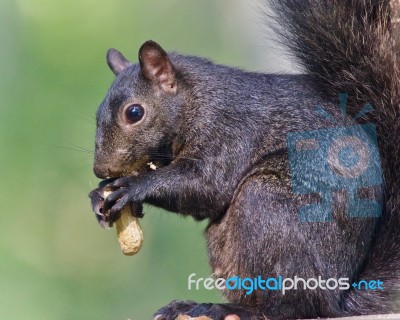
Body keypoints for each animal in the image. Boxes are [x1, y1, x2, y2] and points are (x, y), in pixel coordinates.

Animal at [90, 0, 400, 320]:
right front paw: (100, 194)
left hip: (266, 205)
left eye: (134, 113)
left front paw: (134, 186)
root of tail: (338, 299)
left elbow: (206, 188)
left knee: (294, 306)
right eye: (97, 114)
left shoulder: (229, 131)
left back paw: (229, 307)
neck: (197, 99)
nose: (100, 168)